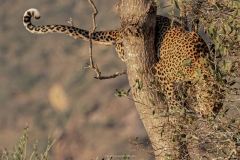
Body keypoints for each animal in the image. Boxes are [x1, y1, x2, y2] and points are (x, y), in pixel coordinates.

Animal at [23, 8, 224, 116]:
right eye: (212, 103)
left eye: (218, 106)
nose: (210, 115)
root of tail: (120, 31)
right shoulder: (161, 69)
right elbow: (172, 96)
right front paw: (178, 111)